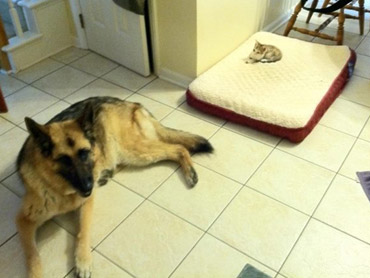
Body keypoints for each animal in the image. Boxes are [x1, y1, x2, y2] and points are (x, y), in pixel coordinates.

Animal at [17, 96, 214, 278]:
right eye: (64, 160)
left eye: (84, 153)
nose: (88, 187)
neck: (62, 191)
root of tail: (131, 103)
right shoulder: (24, 221)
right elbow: (33, 256)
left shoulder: (87, 203)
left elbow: (83, 232)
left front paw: (83, 261)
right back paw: (105, 175)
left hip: (133, 150)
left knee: (179, 148)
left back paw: (190, 173)